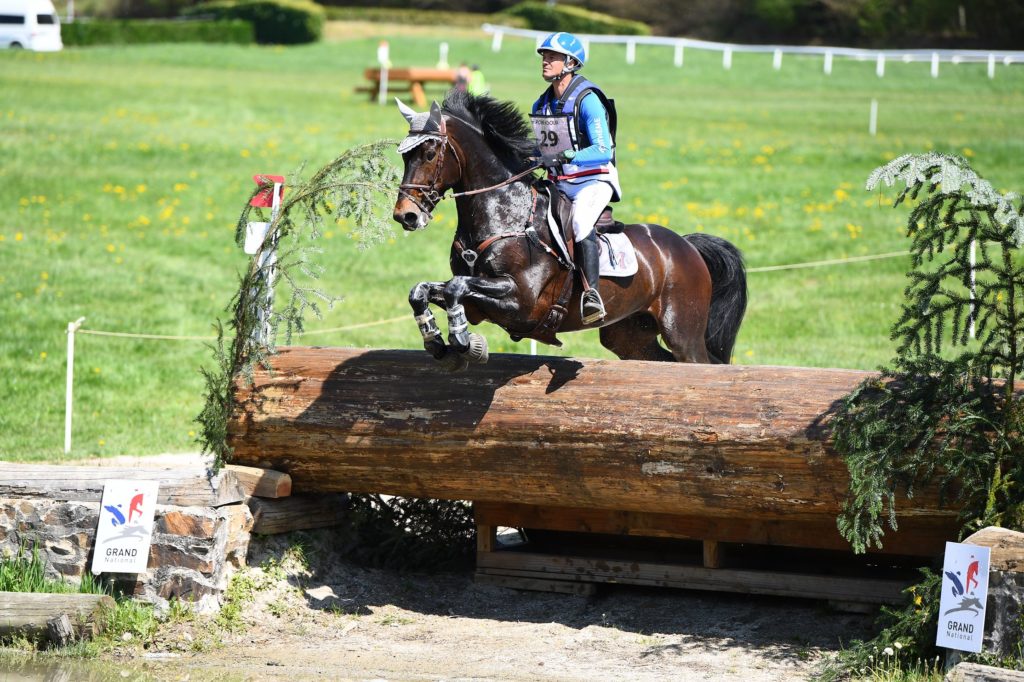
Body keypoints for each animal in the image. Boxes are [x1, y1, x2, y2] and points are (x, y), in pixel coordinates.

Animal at [391, 90, 745, 368]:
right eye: (405, 156)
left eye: (430, 153)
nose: (405, 216)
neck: (505, 213)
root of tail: (686, 246)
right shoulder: (482, 302)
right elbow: (423, 290)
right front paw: (437, 341)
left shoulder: (522, 301)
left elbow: (456, 287)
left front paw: (465, 343)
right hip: (629, 334)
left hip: (682, 331)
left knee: (700, 362)